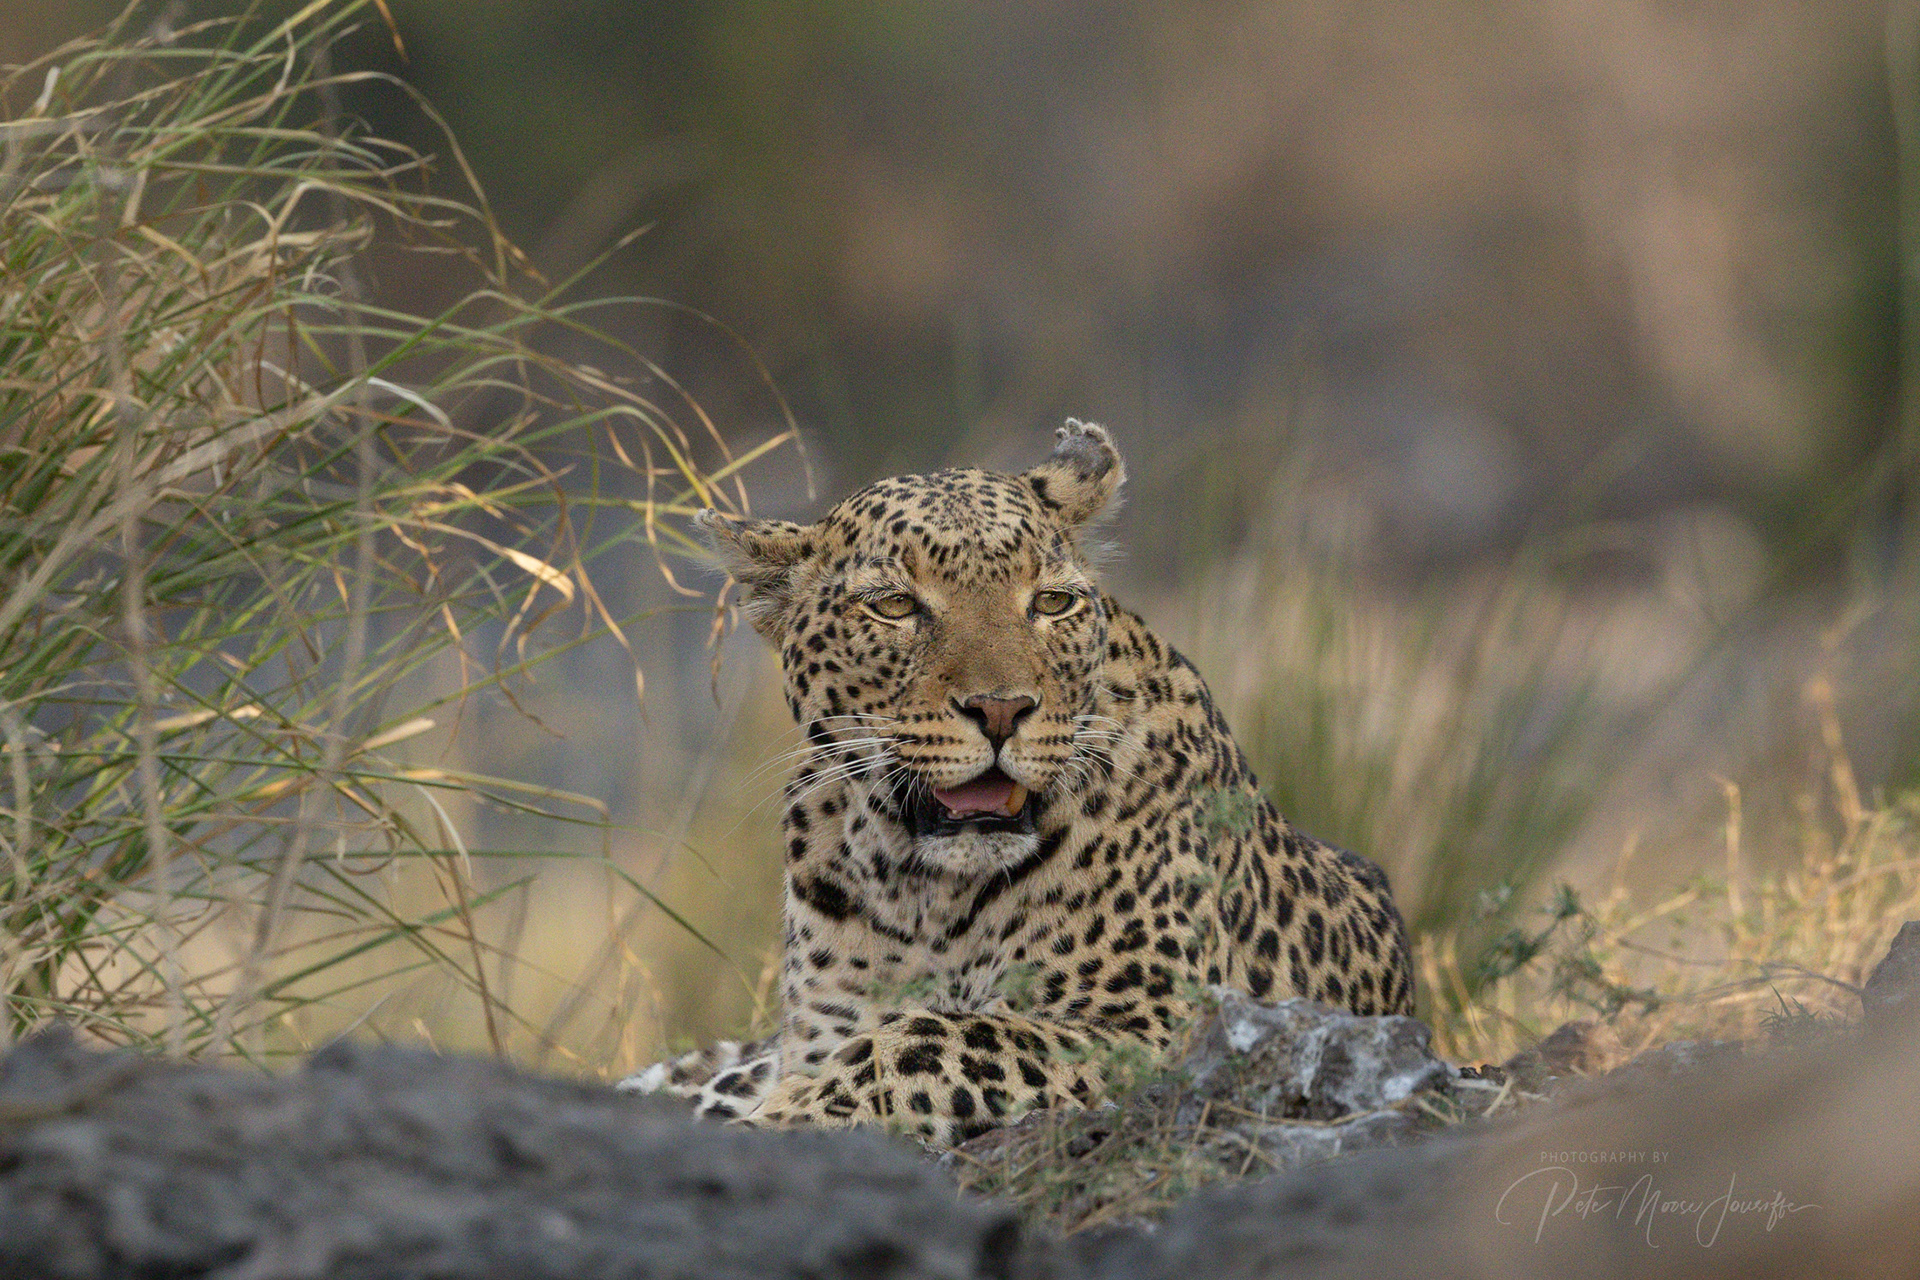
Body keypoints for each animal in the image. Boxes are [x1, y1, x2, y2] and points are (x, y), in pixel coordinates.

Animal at [617, 420, 1414, 1145]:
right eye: (895, 605)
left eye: (1052, 603)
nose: (1001, 709)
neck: (924, 895)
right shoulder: (812, 1034)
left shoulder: (1157, 1023)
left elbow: (931, 1039)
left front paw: (776, 1118)